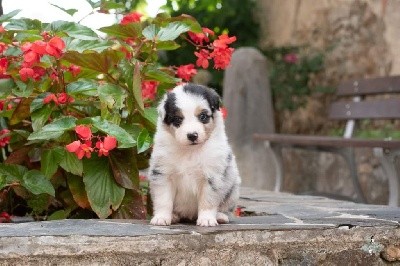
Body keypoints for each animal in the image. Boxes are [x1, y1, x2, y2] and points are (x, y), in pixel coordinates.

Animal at [148, 83, 239, 227]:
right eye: (178, 119)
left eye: (203, 116)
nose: (192, 135)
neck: (190, 151)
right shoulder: (163, 173)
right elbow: (164, 200)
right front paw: (161, 218)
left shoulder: (212, 176)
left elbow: (208, 201)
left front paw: (207, 219)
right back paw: (174, 216)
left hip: (232, 188)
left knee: (226, 208)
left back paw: (220, 216)